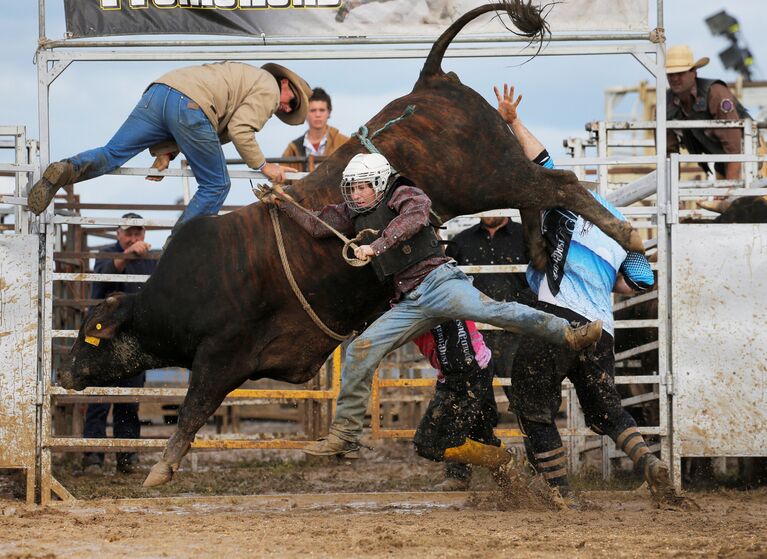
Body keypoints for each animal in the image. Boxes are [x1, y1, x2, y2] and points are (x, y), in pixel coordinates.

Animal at [60, 0, 644, 488]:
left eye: (91, 335)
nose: (64, 373)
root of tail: (431, 82)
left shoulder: (222, 357)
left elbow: (193, 409)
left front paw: (160, 470)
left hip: (484, 176)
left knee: (559, 182)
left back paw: (626, 235)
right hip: (496, 173)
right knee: (540, 189)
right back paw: (544, 257)